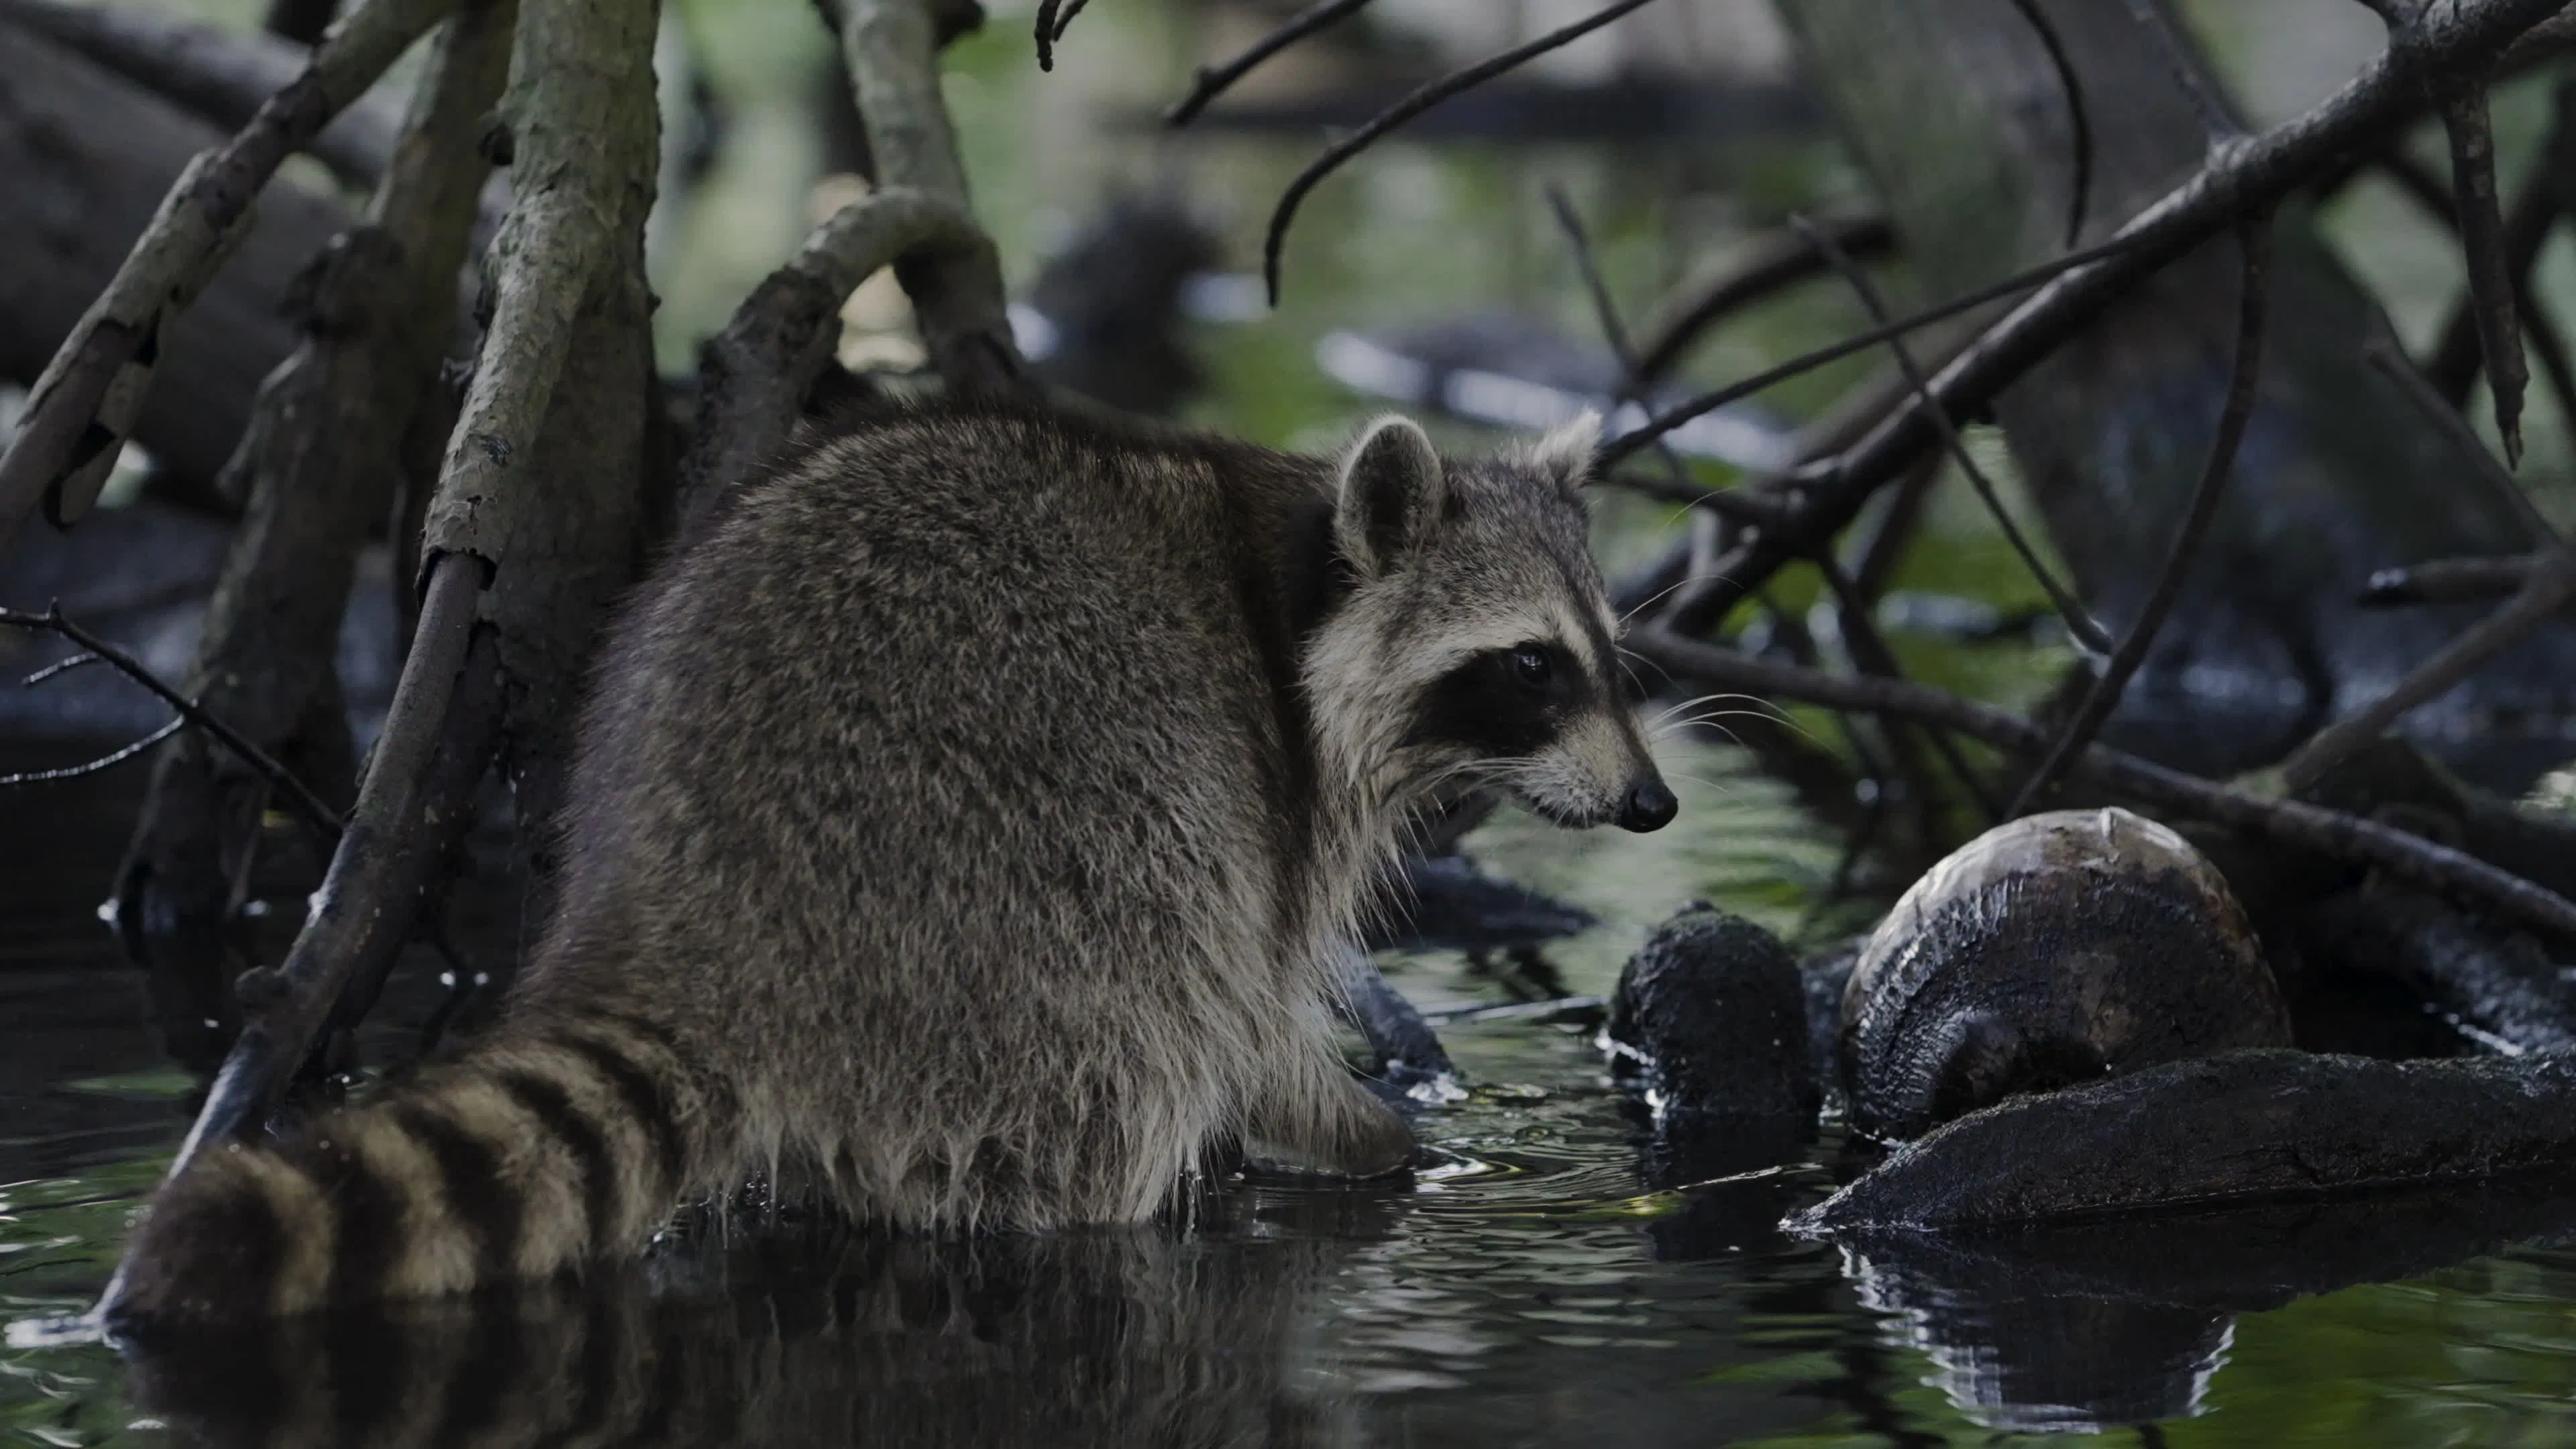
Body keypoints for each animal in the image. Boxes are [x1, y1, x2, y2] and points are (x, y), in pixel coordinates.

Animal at [110, 401, 1675, 1323]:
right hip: (1027, 871)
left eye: (1612, 655)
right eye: (1532, 668)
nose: (1655, 804)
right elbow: (1245, 1003)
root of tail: (688, 914)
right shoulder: (1267, 776)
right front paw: (1363, 1130)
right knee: (1137, 1017)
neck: (1300, 580)